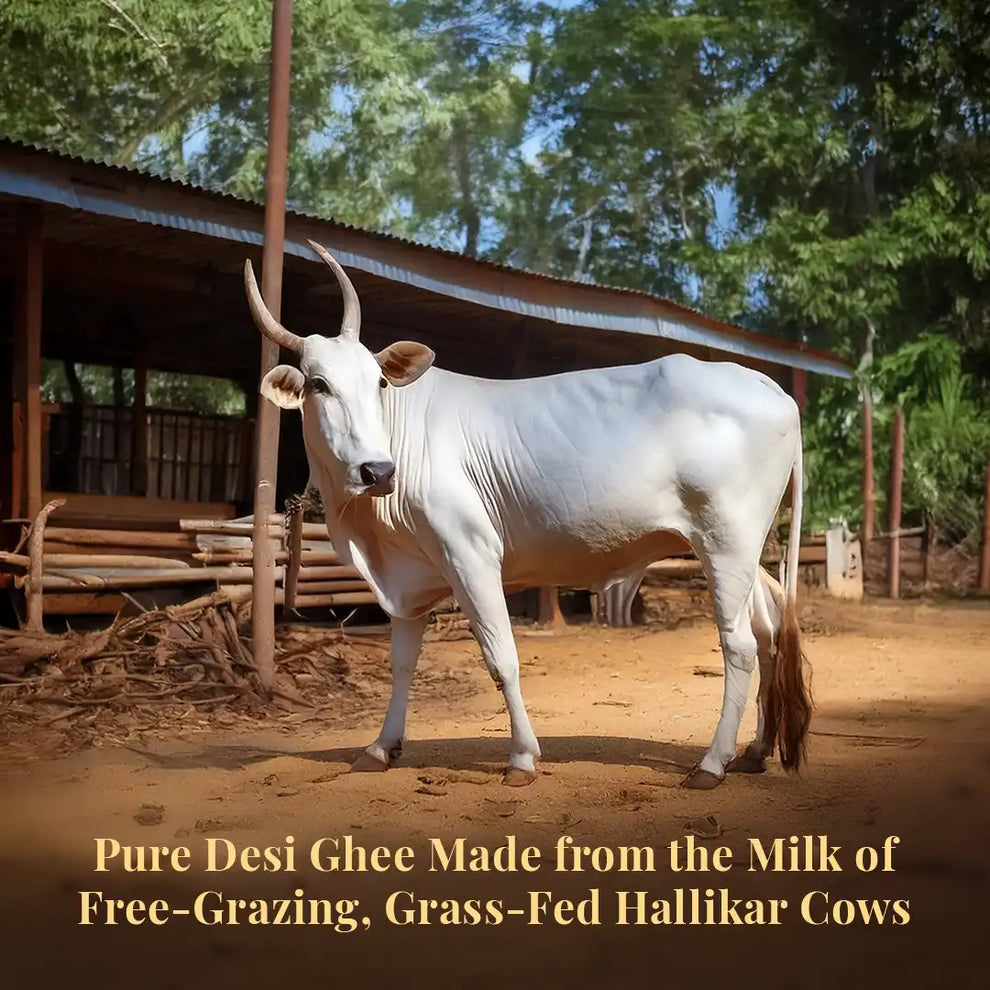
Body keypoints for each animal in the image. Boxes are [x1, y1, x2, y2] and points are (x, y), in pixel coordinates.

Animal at [244, 240, 812, 790]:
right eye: (319, 384)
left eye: (379, 384)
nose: (377, 470)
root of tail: (773, 388)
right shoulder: (411, 576)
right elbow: (402, 663)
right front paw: (382, 747)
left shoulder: (470, 555)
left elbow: (502, 657)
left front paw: (521, 757)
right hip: (742, 550)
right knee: (767, 627)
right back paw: (756, 751)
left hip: (725, 543)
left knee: (738, 643)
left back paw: (712, 764)